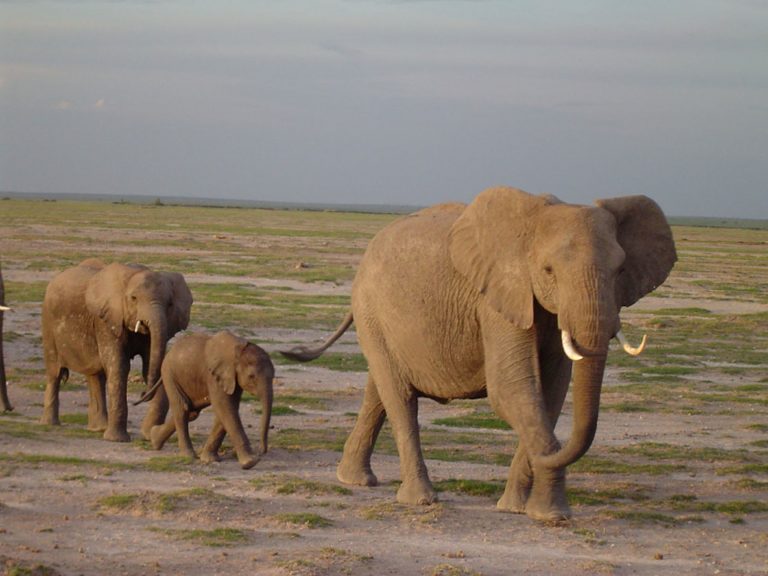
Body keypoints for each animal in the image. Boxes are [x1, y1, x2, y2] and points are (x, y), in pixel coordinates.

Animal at [40, 258, 194, 444]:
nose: (143, 393)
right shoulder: (106, 321)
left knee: (95, 376)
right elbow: (119, 366)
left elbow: (153, 365)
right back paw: (51, 423)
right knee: (54, 372)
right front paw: (117, 439)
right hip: (48, 323)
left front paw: (149, 434)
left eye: (170, 304)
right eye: (134, 298)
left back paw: (98, 428)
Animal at [146, 330, 274, 470]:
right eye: (251, 376)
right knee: (182, 409)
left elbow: (228, 409)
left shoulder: (231, 379)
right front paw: (250, 463)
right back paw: (188, 455)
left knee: (192, 412)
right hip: (169, 374)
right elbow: (224, 407)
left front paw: (209, 459)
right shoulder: (214, 376)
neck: (238, 350)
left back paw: (154, 437)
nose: (261, 451)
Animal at [284, 186, 680, 520]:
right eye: (548, 270)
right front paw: (550, 516)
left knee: (378, 392)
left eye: (621, 269)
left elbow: (550, 394)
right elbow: (512, 390)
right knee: (399, 398)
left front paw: (522, 509)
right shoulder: (496, 297)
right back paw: (420, 500)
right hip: (371, 309)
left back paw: (354, 480)